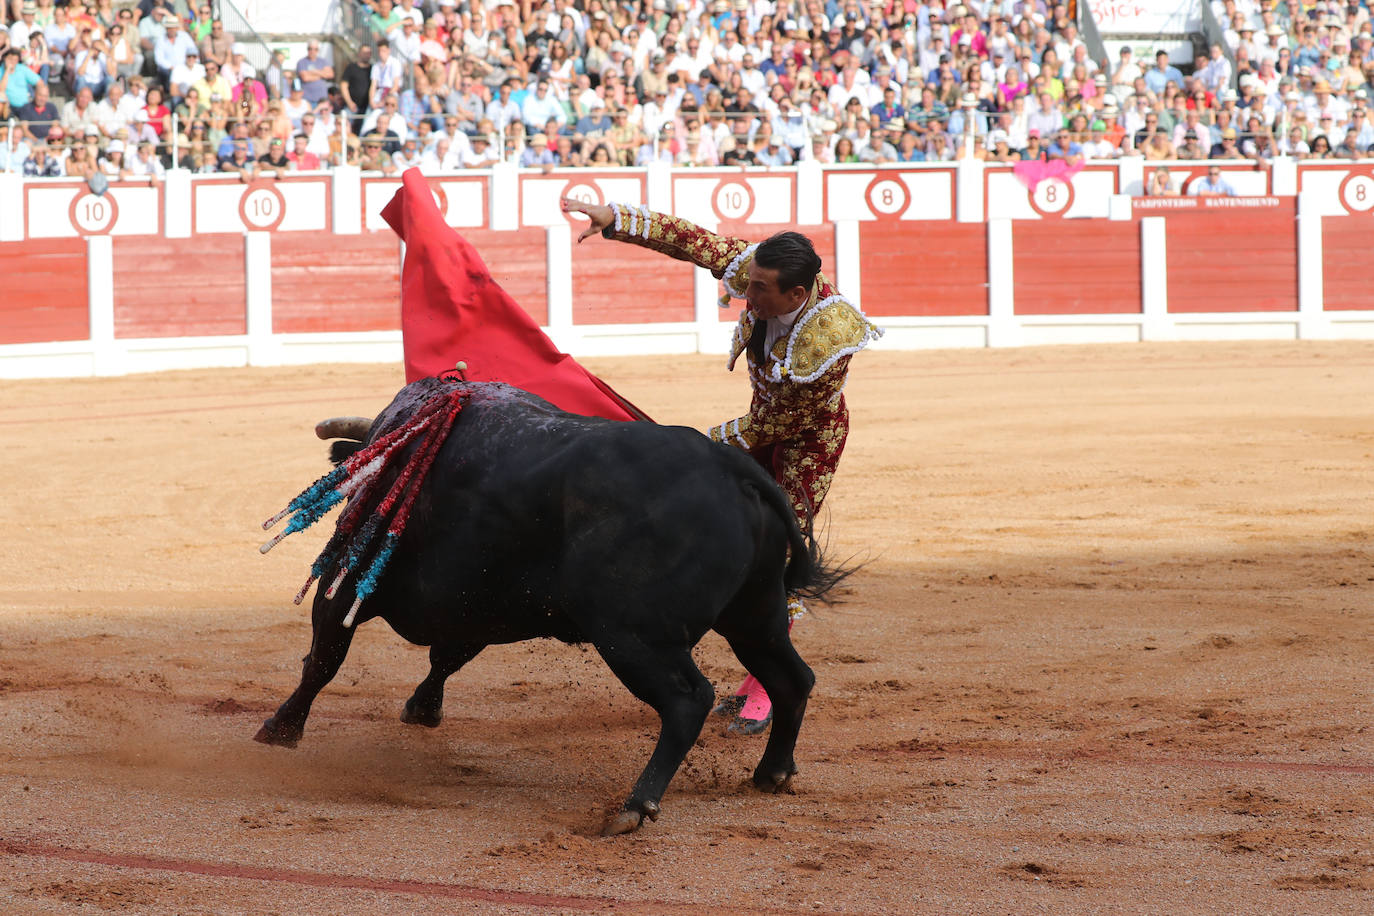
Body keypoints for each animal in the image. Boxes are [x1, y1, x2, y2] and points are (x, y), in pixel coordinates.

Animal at [251, 376, 840, 834]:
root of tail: (734, 472)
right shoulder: (479, 605)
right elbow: (445, 658)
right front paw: (422, 708)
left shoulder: (348, 576)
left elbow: (323, 658)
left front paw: (280, 729)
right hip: (755, 617)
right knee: (793, 678)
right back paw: (772, 773)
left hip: (634, 637)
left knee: (687, 700)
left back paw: (634, 806)